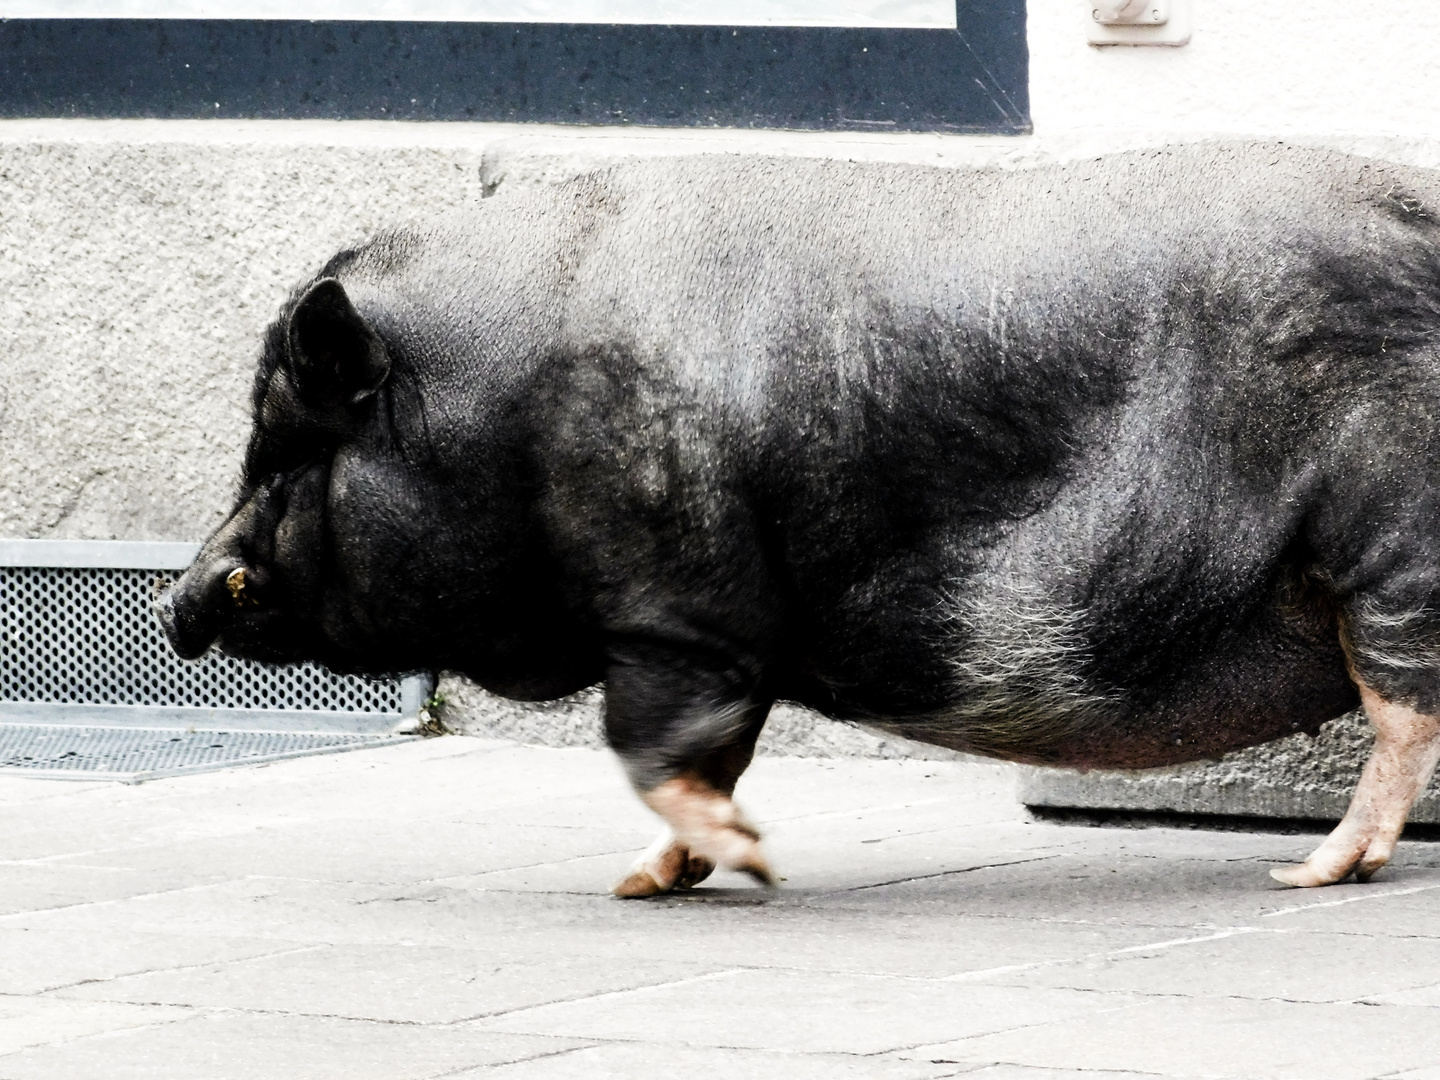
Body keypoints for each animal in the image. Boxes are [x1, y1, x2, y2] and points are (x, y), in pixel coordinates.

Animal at [163, 146, 1440, 898]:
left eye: (292, 443)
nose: (183, 593)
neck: (498, 410)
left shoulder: (674, 609)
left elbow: (651, 747)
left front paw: (750, 865)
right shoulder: (726, 634)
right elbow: (708, 754)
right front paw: (647, 884)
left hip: (1389, 551)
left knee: (1400, 714)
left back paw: (1308, 876)